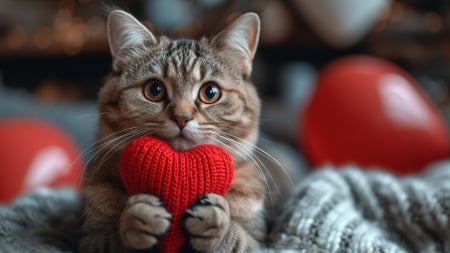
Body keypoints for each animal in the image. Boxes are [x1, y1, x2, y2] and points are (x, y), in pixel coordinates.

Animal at [79, 8, 268, 252]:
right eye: (154, 89)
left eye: (210, 92)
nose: (181, 118)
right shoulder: (91, 239)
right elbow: (112, 237)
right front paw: (137, 216)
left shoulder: (258, 241)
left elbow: (238, 238)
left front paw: (216, 220)